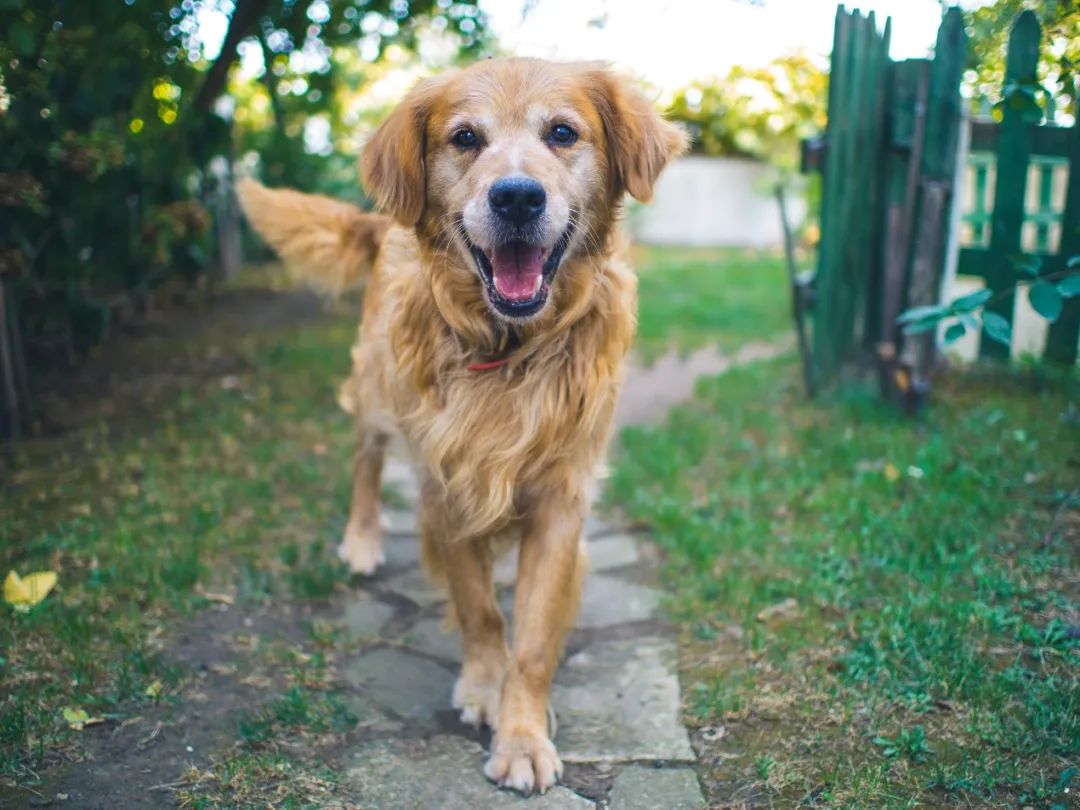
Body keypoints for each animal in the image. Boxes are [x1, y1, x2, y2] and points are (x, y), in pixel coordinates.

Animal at [241, 58, 686, 799]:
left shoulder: (561, 500)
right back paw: (362, 540)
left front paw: (523, 733)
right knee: (364, 461)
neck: (510, 349)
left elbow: (531, 636)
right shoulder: (444, 486)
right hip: (376, 392)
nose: (517, 198)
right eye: (465, 138)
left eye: (562, 133)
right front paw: (484, 686)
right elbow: (481, 609)